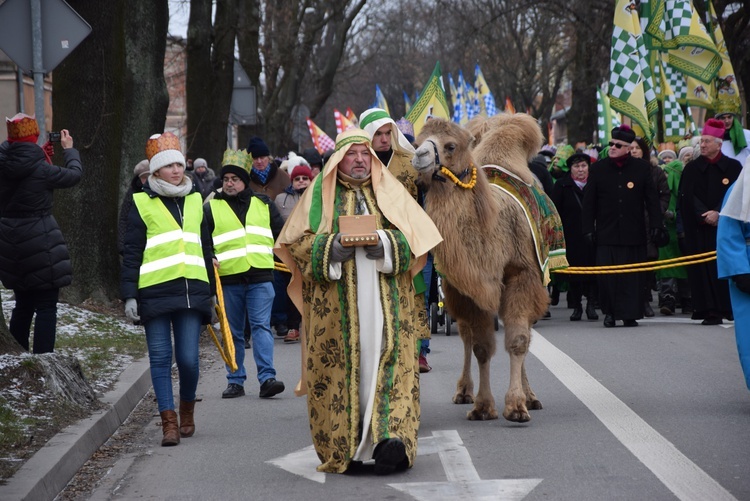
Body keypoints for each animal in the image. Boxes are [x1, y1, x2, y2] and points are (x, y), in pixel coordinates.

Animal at [412, 114, 552, 422]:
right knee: (465, 335)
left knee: (524, 332)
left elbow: (518, 340)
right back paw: (464, 391)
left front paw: (517, 406)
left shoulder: (522, 274)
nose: (419, 156)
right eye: (417, 141)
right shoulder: (469, 285)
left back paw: (531, 396)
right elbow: (481, 347)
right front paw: (483, 406)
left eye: (450, 146)